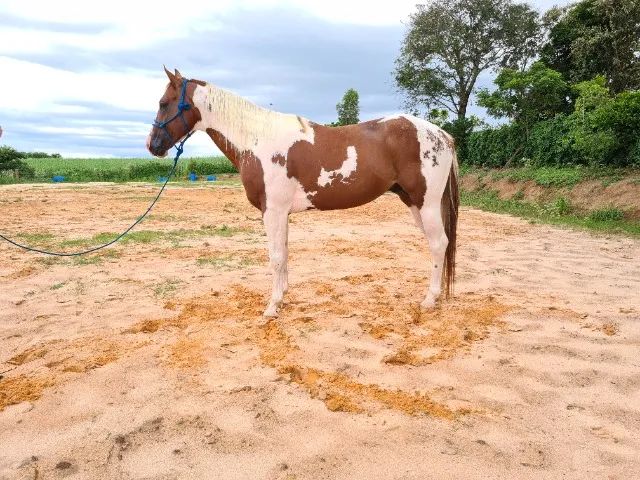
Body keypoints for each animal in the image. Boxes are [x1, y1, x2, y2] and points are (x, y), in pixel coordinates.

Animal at [147, 68, 459, 317]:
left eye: (164, 103)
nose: (153, 145)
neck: (257, 140)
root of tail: (443, 136)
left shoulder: (272, 211)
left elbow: (275, 256)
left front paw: (272, 307)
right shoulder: (281, 213)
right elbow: (284, 254)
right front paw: (282, 298)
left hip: (427, 203)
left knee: (439, 244)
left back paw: (429, 300)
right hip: (414, 202)